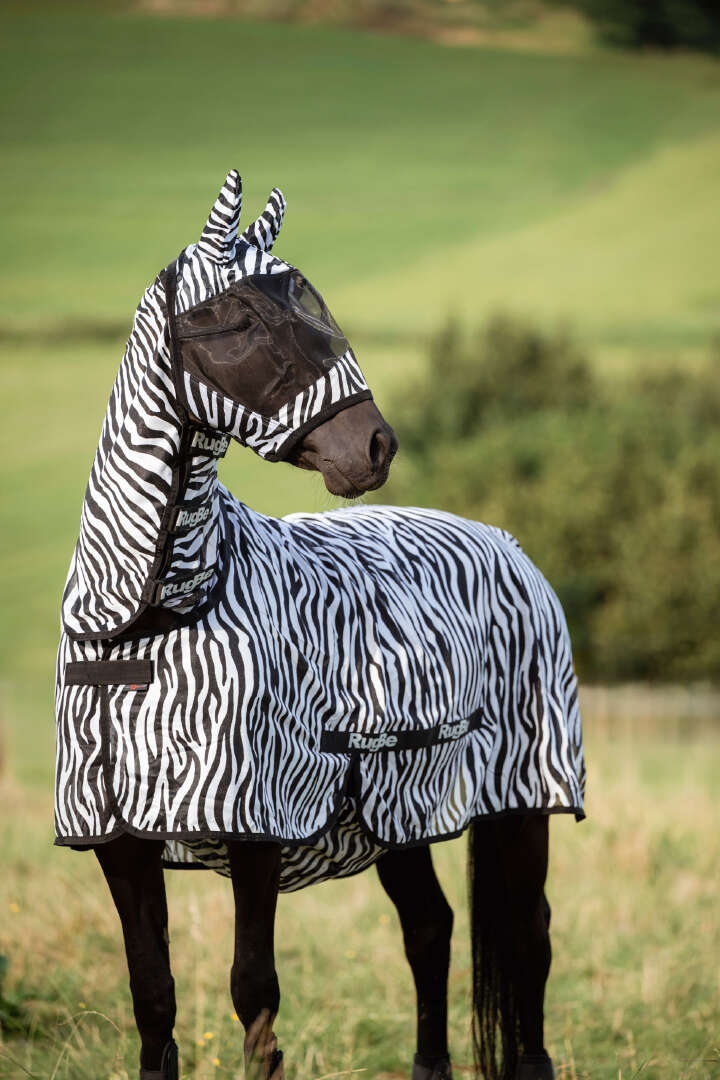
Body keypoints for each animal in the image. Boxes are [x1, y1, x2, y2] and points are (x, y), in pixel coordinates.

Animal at [55, 170, 585, 1080]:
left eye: (311, 300)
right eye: (240, 318)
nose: (374, 447)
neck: (144, 620)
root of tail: (507, 543)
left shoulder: (257, 826)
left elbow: (253, 995)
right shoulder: (119, 841)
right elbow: (153, 999)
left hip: (521, 799)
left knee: (530, 944)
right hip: (402, 811)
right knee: (431, 929)